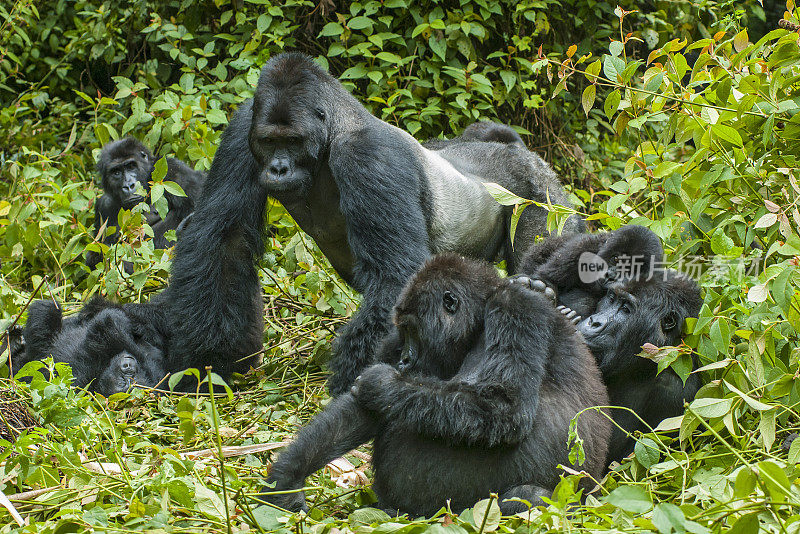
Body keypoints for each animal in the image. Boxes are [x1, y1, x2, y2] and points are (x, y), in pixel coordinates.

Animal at [241, 52, 584, 396]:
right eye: (268, 141)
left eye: (293, 141)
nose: (278, 169)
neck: (336, 127)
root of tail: (519, 150)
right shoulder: (245, 123)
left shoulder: (368, 155)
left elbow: (394, 278)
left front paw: (349, 386)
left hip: (543, 195)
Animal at [262, 255, 608, 520]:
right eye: (402, 332)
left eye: (413, 331)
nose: (403, 360)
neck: (479, 320)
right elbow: (361, 411)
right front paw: (285, 481)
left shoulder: (514, 307)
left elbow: (504, 407)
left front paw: (382, 383)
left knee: (530, 496)